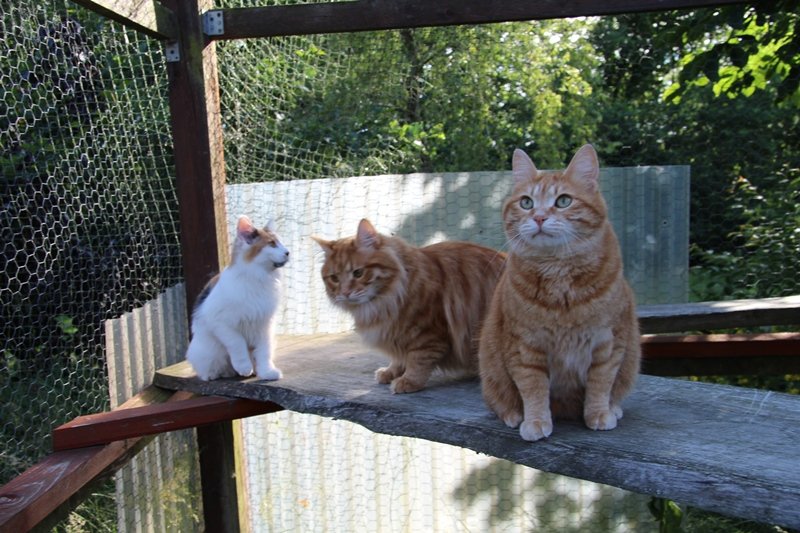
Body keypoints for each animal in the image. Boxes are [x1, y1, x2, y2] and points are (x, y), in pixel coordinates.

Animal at [186, 215, 290, 381]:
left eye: (280, 243)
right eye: (272, 244)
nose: (288, 252)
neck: (258, 278)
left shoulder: (265, 326)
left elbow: (264, 352)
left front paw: (266, 372)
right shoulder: (221, 322)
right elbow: (238, 343)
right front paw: (244, 367)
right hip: (207, 350)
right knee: (208, 369)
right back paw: (218, 374)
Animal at [312, 219, 506, 393]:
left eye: (358, 273)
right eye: (334, 278)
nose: (345, 293)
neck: (383, 302)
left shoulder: (428, 333)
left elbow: (418, 361)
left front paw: (408, 381)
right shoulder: (397, 333)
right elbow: (399, 359)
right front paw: (391, 372)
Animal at [479, 144, 640, 441]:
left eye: (564, 201)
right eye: (526, 203)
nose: (539, 217)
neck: (559, 276)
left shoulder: (609, 342)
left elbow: (601, 383)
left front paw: (599, 414)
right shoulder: (524, 347)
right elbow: (533, 389)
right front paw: (536, 421)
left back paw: (614, 408)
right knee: (500, 401)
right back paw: (512, 415)